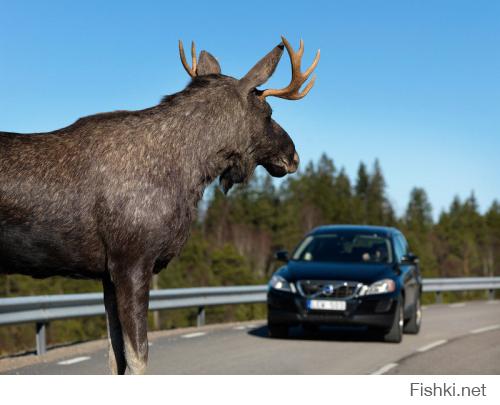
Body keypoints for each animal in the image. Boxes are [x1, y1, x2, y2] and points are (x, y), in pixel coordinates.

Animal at [0, 37, 320, 372]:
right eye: (268, 112)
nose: (293, 155)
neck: (189, 172)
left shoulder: (107, 273)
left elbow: (116, 358)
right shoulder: (132, 262)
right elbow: (137, 358)